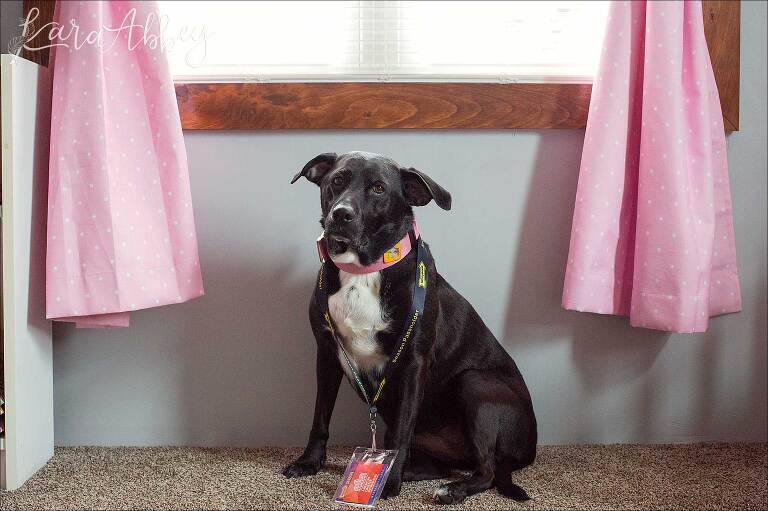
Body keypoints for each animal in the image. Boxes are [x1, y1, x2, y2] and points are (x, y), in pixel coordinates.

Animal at [282, 152, 536, 504]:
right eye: (337, 180)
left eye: (378, 188)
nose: (341, 214)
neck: (363, 270)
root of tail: (532, 449)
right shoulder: (327, 354)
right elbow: (320, 415)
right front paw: (309, 462)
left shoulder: (413, 363)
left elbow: (400, 433)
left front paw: (389, 482)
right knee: (441, 466)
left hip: (475, 383)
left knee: (485, 470)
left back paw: (452, 489)